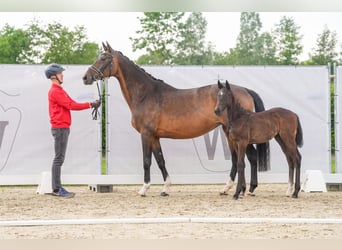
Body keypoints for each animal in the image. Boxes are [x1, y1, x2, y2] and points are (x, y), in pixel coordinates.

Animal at [83, 41, 270, 197]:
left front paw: (144, 189)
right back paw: (237, 189)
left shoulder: (146, 134)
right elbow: (160, 161)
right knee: (242, 158)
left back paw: (244, 189)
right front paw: (165, 189)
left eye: (103, 58)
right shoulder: (155, 137)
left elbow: (146, 161)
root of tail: (245, 90)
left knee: (248, 157)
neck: (146, 94)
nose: (86, 77)